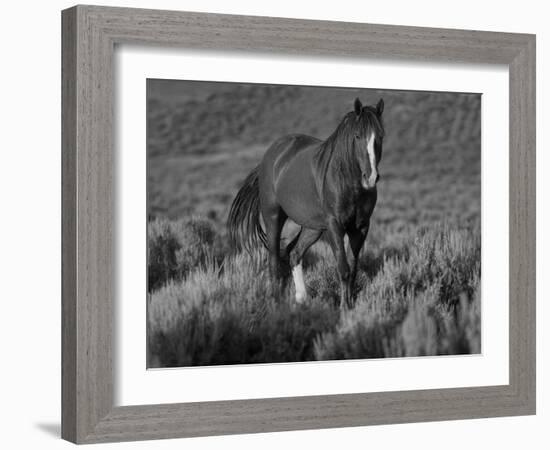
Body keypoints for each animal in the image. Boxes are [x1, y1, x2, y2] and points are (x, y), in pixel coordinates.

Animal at [226, 98, 386, 310]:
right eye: (357, 135)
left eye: (380, 136)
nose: (371, 178)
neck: (347, 181)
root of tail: (270, 155)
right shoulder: (335, 226)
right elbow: (343, 268)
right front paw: (344, 307)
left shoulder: (360, 228)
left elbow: (353, 269)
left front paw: (350, 305)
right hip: (274, 217)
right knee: (274, 261)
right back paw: (276, 302)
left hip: (313, 228)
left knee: (294, 253)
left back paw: (302, 298)